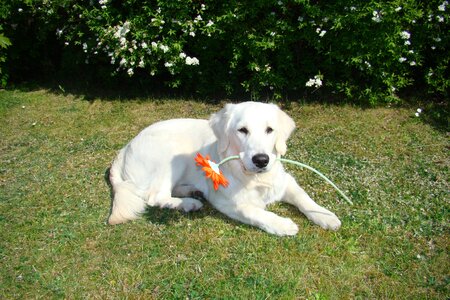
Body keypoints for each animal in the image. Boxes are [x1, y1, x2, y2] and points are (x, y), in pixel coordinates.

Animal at [108, 102, 342, 236]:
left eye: (269, 130)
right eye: (242, 130)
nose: (261, 160)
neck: (253, 178)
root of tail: (125, 148)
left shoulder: (284, 181)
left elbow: (304, 198)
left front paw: (326, 216)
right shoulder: (227, 201)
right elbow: (255, 212)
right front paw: (282, 225)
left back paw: (191, 191)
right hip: (171, 154)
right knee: (156, 196)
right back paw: (188, 203)